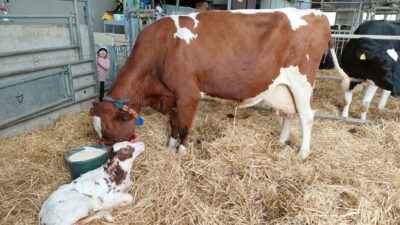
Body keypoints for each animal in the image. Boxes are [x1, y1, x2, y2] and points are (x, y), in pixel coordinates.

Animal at [91, 7, 350, 158]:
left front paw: (182, 152)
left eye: (110, 133)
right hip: (283, 87)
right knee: (290, 113)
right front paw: (170, 145)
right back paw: (281, 141)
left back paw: (303, 153)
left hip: (302, 82)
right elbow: (173, 123)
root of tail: (319, 14)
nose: (109, 157)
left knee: (307, 116)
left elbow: (184, 126)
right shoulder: (172, 96)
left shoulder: (188, 95)